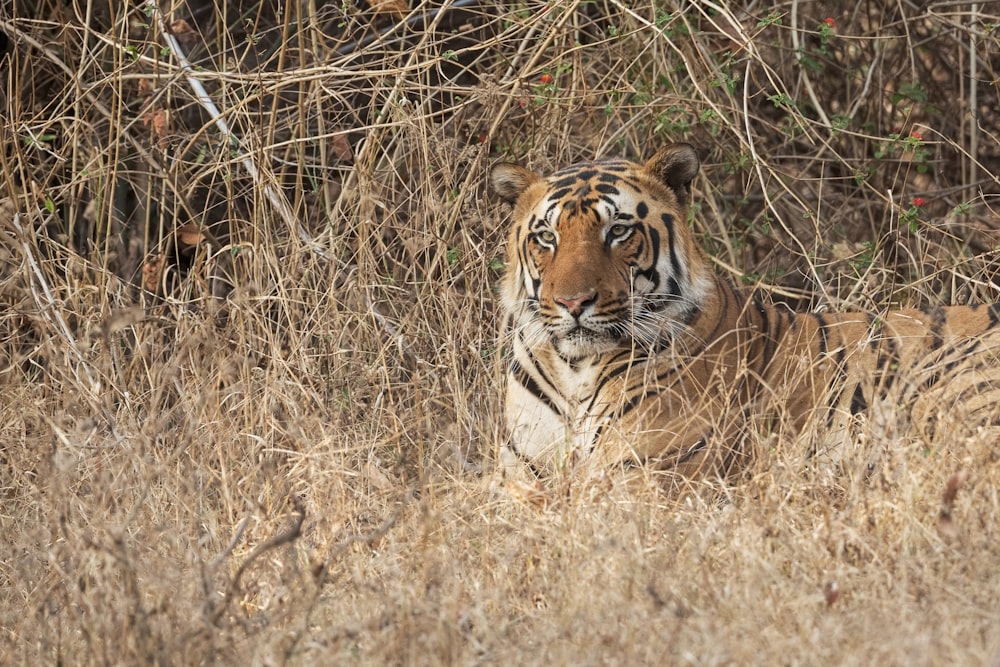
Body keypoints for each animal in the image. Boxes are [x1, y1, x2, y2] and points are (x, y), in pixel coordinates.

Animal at [488, 144, 1000, 482]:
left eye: (618, 231)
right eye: (547, 237)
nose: (574, 303)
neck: (574, 369)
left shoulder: (640, 475)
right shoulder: (520, 476)